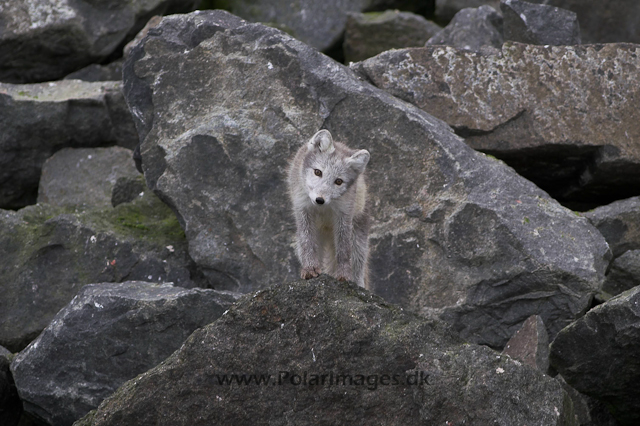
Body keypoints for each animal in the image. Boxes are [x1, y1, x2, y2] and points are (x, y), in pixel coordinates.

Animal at [288, 129, 372, 290]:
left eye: (338, 181)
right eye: (318, 172)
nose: (319, 200)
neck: (324, 210)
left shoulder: (344, 215)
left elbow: (343, 250)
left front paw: (344, 275)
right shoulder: (302, 210)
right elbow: (308, 244)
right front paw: (309, 270)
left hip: (358, 238)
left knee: (358, 265)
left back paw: (358, 284)